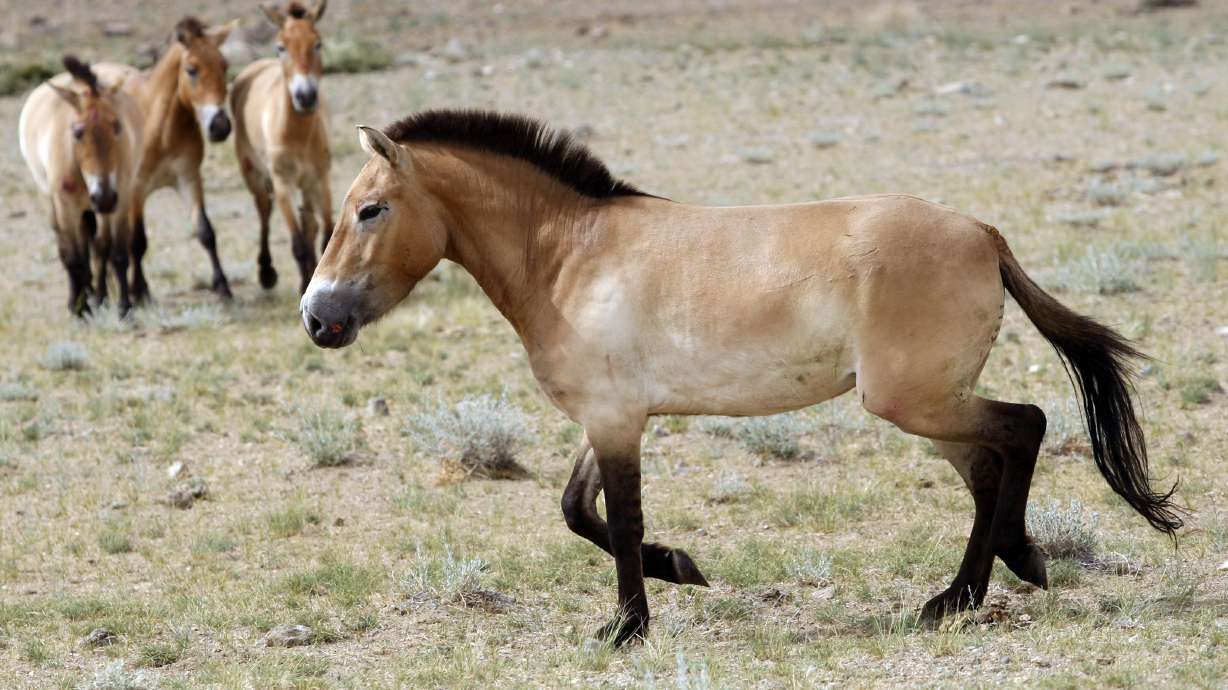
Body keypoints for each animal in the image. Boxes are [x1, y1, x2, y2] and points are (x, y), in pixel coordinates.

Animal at [19, 56, 143, 317]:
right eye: (77, 132)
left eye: (117, 126)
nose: (103, 196)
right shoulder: (67, 207)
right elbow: (74, 258)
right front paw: (80, 310)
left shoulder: (120, 201)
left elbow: (117, 254)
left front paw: (123, 308)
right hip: (53, 204)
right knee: (70, 251)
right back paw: (83, 299)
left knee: (99, 247)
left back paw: (99, 297)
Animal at [93, 17, 237, 303]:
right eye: (192, 70)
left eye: (224, 65)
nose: (220, 126)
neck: (160, 127)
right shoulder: (136, 189)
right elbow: (137, 242)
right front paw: (139, 291)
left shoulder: (189, 179)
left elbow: (205, 232)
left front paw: (222, 286)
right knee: (102, 243)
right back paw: (102, 294)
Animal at [231, 0, 333, 294]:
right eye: (281, 46)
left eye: (317, 43)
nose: (305, 96)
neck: (297, 134)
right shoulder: (282, 183)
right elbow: (297, 243)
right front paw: (304, 285)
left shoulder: (320, 179)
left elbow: (325, 233)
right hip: (253, 174)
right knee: (264, 212)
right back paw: (267, 273)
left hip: (306, 185)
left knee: (309, 223)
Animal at [299, 110, 1183, 645]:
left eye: (370, 209)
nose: (316, 317)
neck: (571, 258)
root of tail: (983, 233)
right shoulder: (611, 415)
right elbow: (578, 511)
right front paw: (682, 569)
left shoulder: (616, 420)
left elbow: (618, 521)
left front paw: (627, 628)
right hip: (931, 406)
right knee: (992, 465)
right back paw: (988, 579)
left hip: (912, 400)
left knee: (1024, 426)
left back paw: (979, 584)